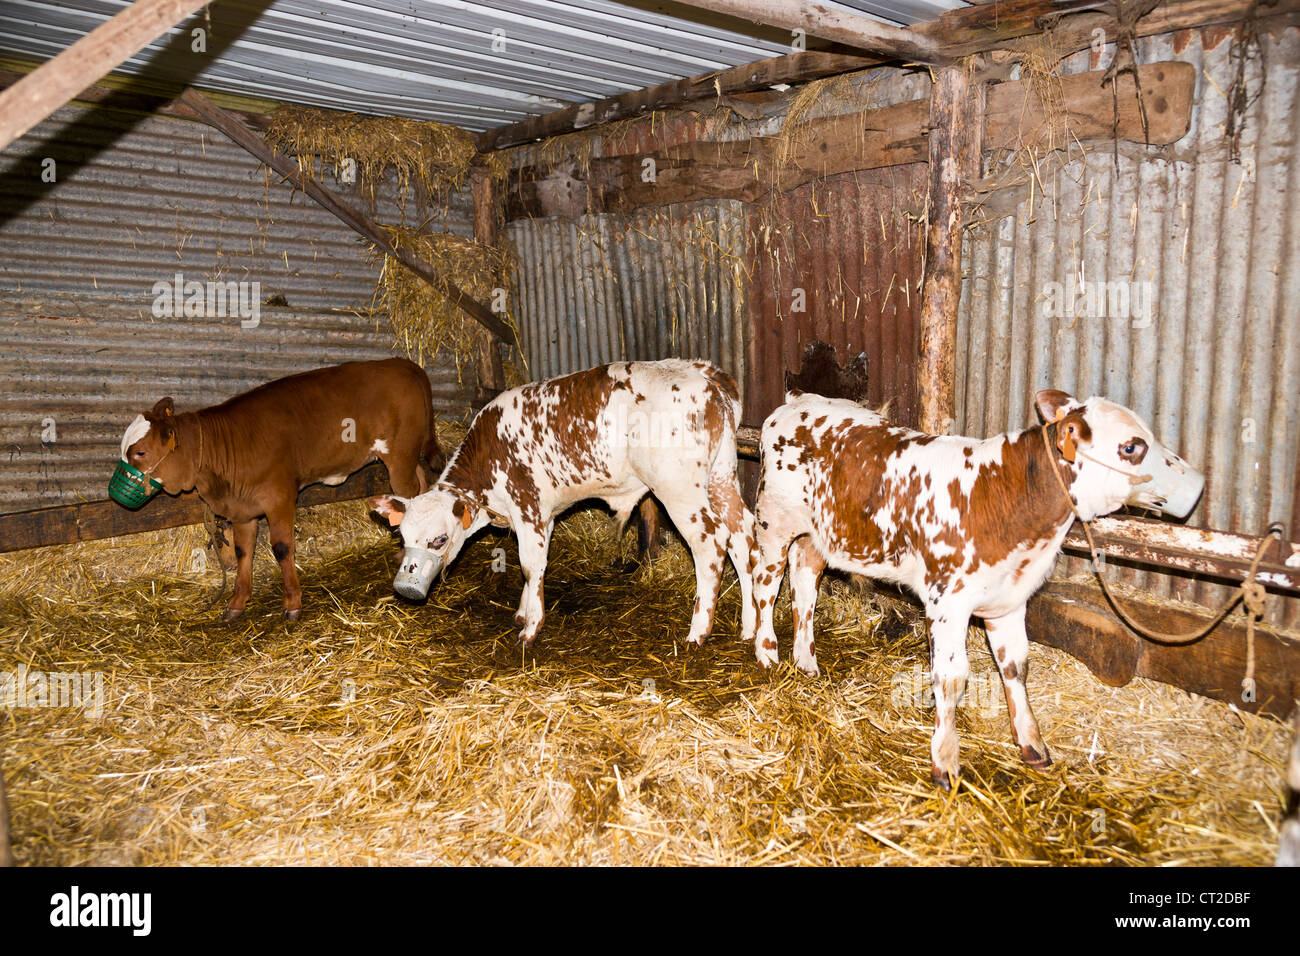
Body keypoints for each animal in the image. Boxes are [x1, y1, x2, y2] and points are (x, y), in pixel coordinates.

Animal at [115, 358, 444, 622]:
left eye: (140, 452)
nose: (114, 489)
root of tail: (405, 364)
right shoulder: (242, 509)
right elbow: (242, 551)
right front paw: (237, 602)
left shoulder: (279, 497)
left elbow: (282, 548)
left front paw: (292, 604)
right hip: (407, 458)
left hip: (399, 457)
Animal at [369, 359, 757, 649]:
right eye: (404, 539)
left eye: (439, 540)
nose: (406, 586)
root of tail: (701, 372)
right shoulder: (542, 515)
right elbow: (535, 567)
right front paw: (523, 613)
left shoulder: (527, 507)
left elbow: (529, 566)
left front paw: (530, 629)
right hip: (722, 477)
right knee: (742, 537)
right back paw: (748, 628)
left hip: (680, 491)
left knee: (711, 546)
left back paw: (698, 632)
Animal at [751, 388, 1205, 789]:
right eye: (1131, 447)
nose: (1198, 484)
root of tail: (797, 400)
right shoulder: (946, 601)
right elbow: (952, 679)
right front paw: (945, 761)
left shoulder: (1010, 600)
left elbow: (1016, 666)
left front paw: (1032, 745)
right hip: (774, 522)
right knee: (764, 581)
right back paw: (767, 653)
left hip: (819, 534)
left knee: (805, 583)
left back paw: (806, 661)